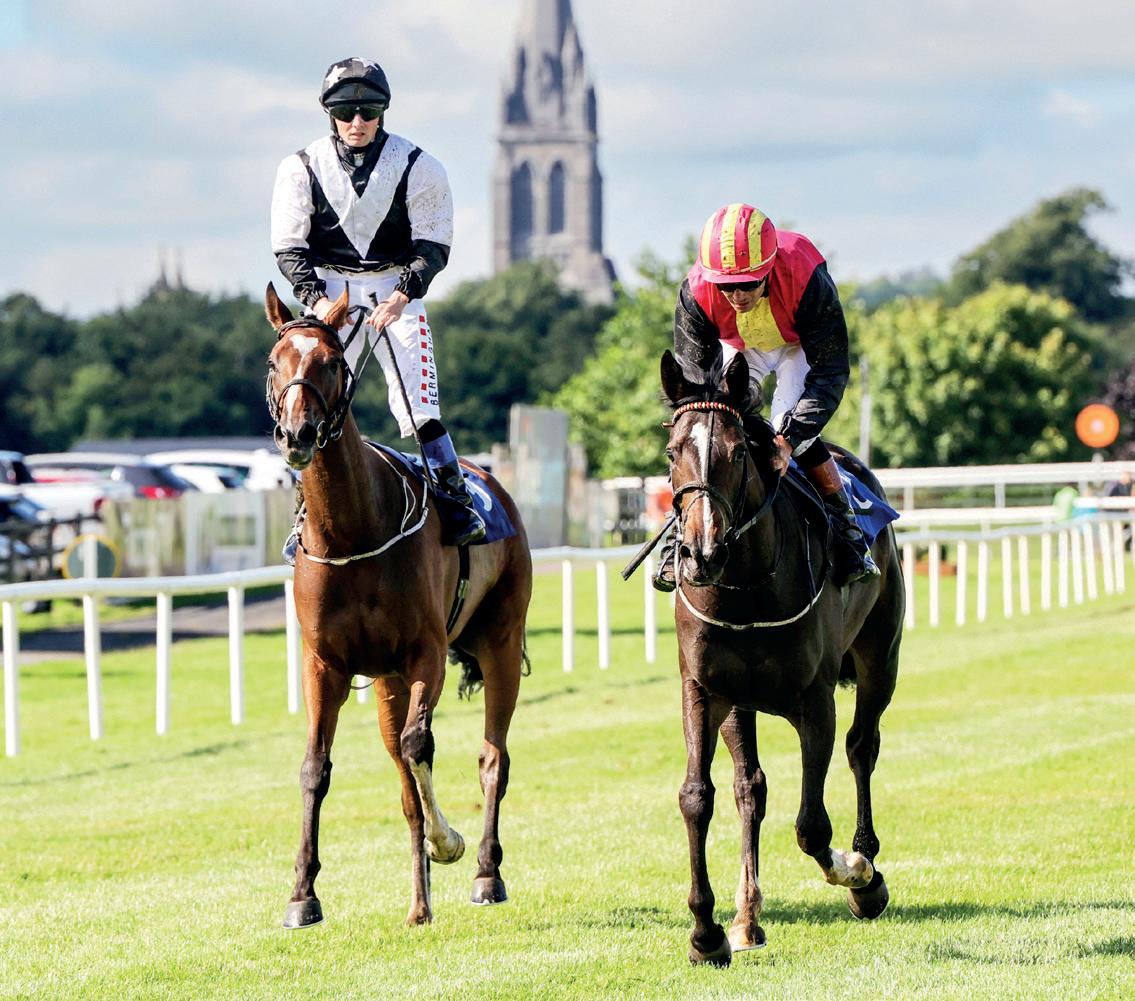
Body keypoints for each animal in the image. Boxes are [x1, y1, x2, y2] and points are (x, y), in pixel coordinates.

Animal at [264, 284, 532, 928]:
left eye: (331, 362)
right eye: (274, 362)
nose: (297, 434)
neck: (354, 531)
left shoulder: (424, 656)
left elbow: (419, 746)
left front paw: (448, 841)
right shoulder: (325, 666)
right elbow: (316, 767)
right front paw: (302, 893)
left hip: (500, 642)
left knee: (492, 757)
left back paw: (485, 871)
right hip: (386, 682)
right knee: (406, 782)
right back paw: (419, 905)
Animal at [659, 348, 903, 966]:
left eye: (737, 452)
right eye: (673, 453)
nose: (701, 553)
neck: (745, 586)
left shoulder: (815, 700)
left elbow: (813, 826)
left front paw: (859, 875)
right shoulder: (705, 691)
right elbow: (698, 798)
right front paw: (706, 931)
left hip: (880, 658)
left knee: (862, 746)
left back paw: (866, 859)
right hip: (741, 704)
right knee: (751, 787)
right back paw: (747, 916)